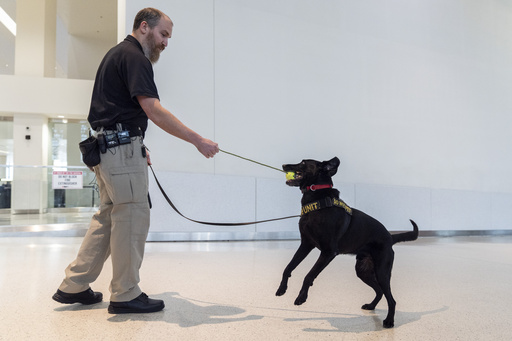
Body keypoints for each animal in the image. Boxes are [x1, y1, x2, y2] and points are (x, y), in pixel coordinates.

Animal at [278, 157, 418, 326]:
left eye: (304, 162)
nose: (284, 165)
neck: (318, 200)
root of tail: (390, 237)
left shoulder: (328, 252)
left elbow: (309, 275)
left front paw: (301, 297)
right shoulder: (306, 245)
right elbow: (288, 267)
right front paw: (282, 288)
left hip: (382, 271)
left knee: (391, 299)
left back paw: (389, 321)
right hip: (363, 271)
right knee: (379, 291)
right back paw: (371, 306)